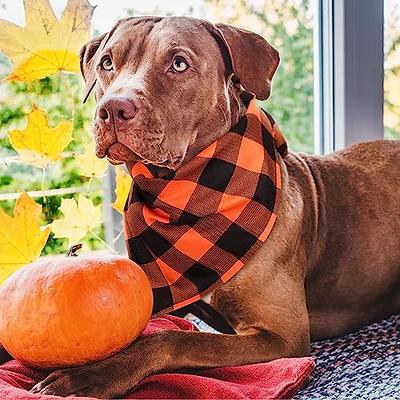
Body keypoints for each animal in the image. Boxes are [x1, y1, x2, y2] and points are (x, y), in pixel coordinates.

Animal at [28, 14, 400, 396]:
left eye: (179, 64)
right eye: (107, 63)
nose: (113, 109)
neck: (192, 195)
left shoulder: (283, 337)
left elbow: (174, 339)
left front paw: (91, 376)